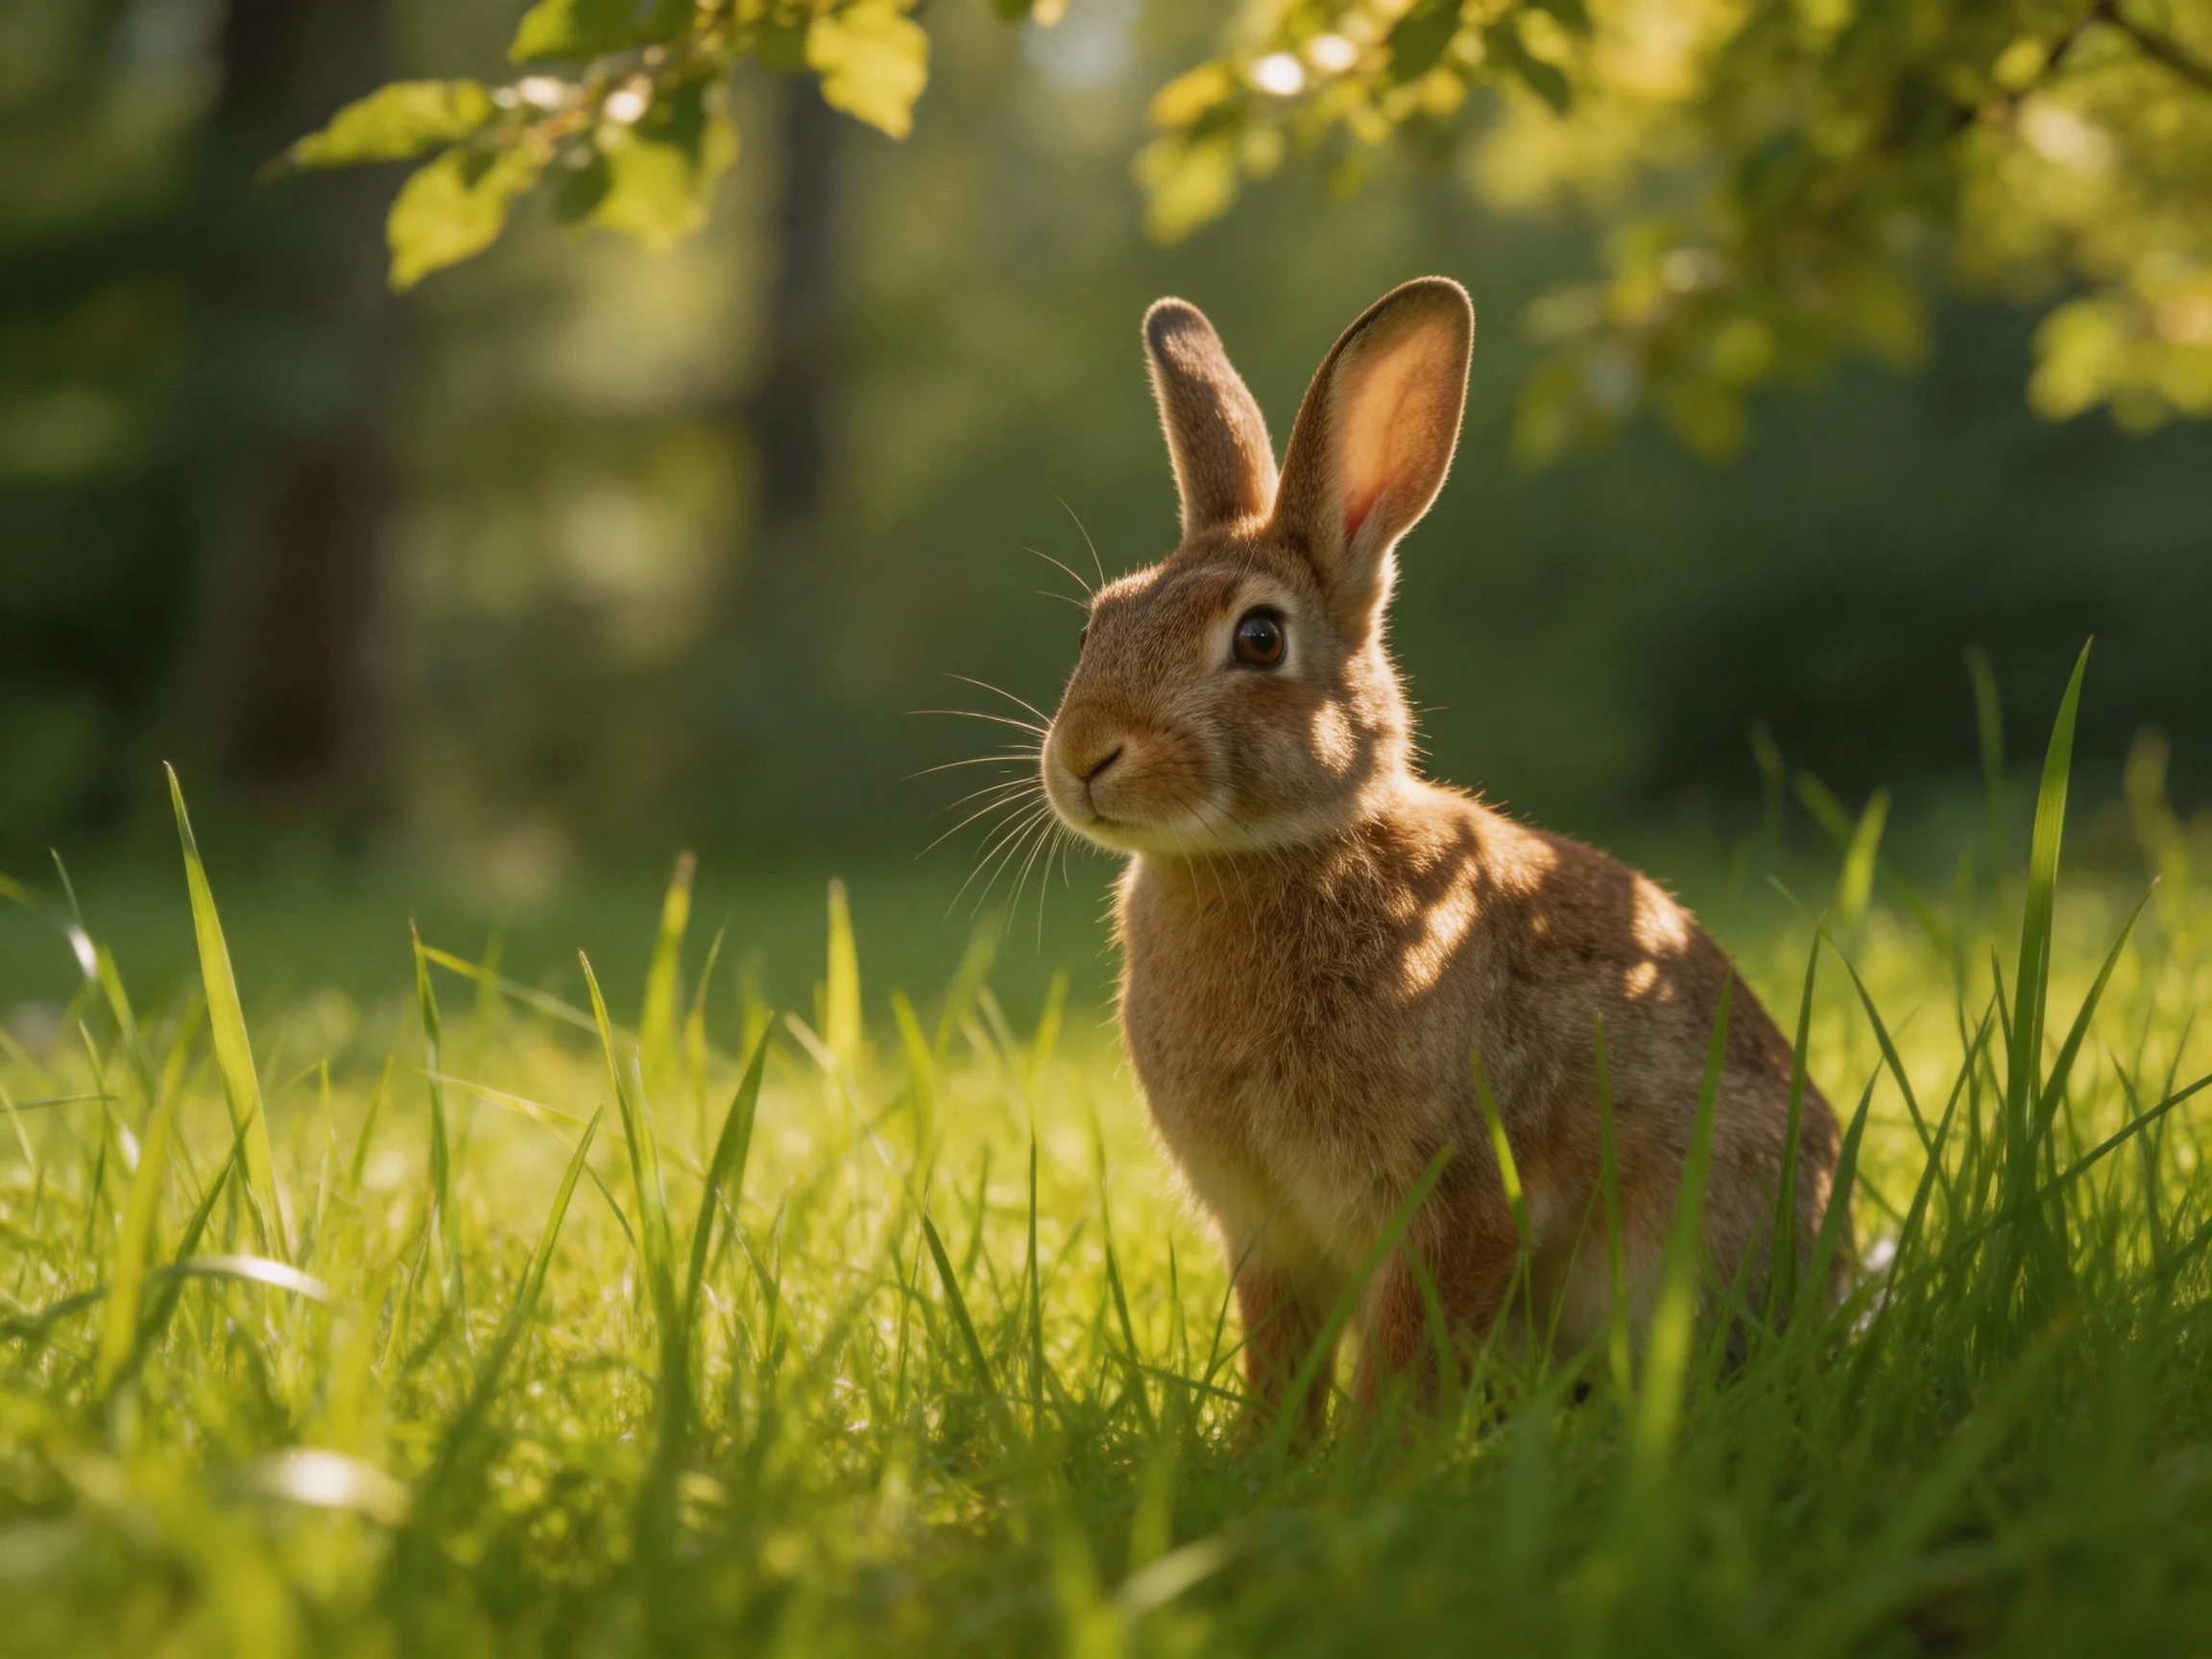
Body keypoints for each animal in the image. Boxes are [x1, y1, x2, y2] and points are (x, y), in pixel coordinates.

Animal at [1038, 276, 1846, 1424]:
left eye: (1259, 640)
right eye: (1094, 626)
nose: (1083, 755)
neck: (1275, 852)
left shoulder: (1458, 1200)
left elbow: (1406, 1362)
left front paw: (1371, 1462)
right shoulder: (1268, 1233)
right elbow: (1282, 1358)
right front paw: (1264, 1455)